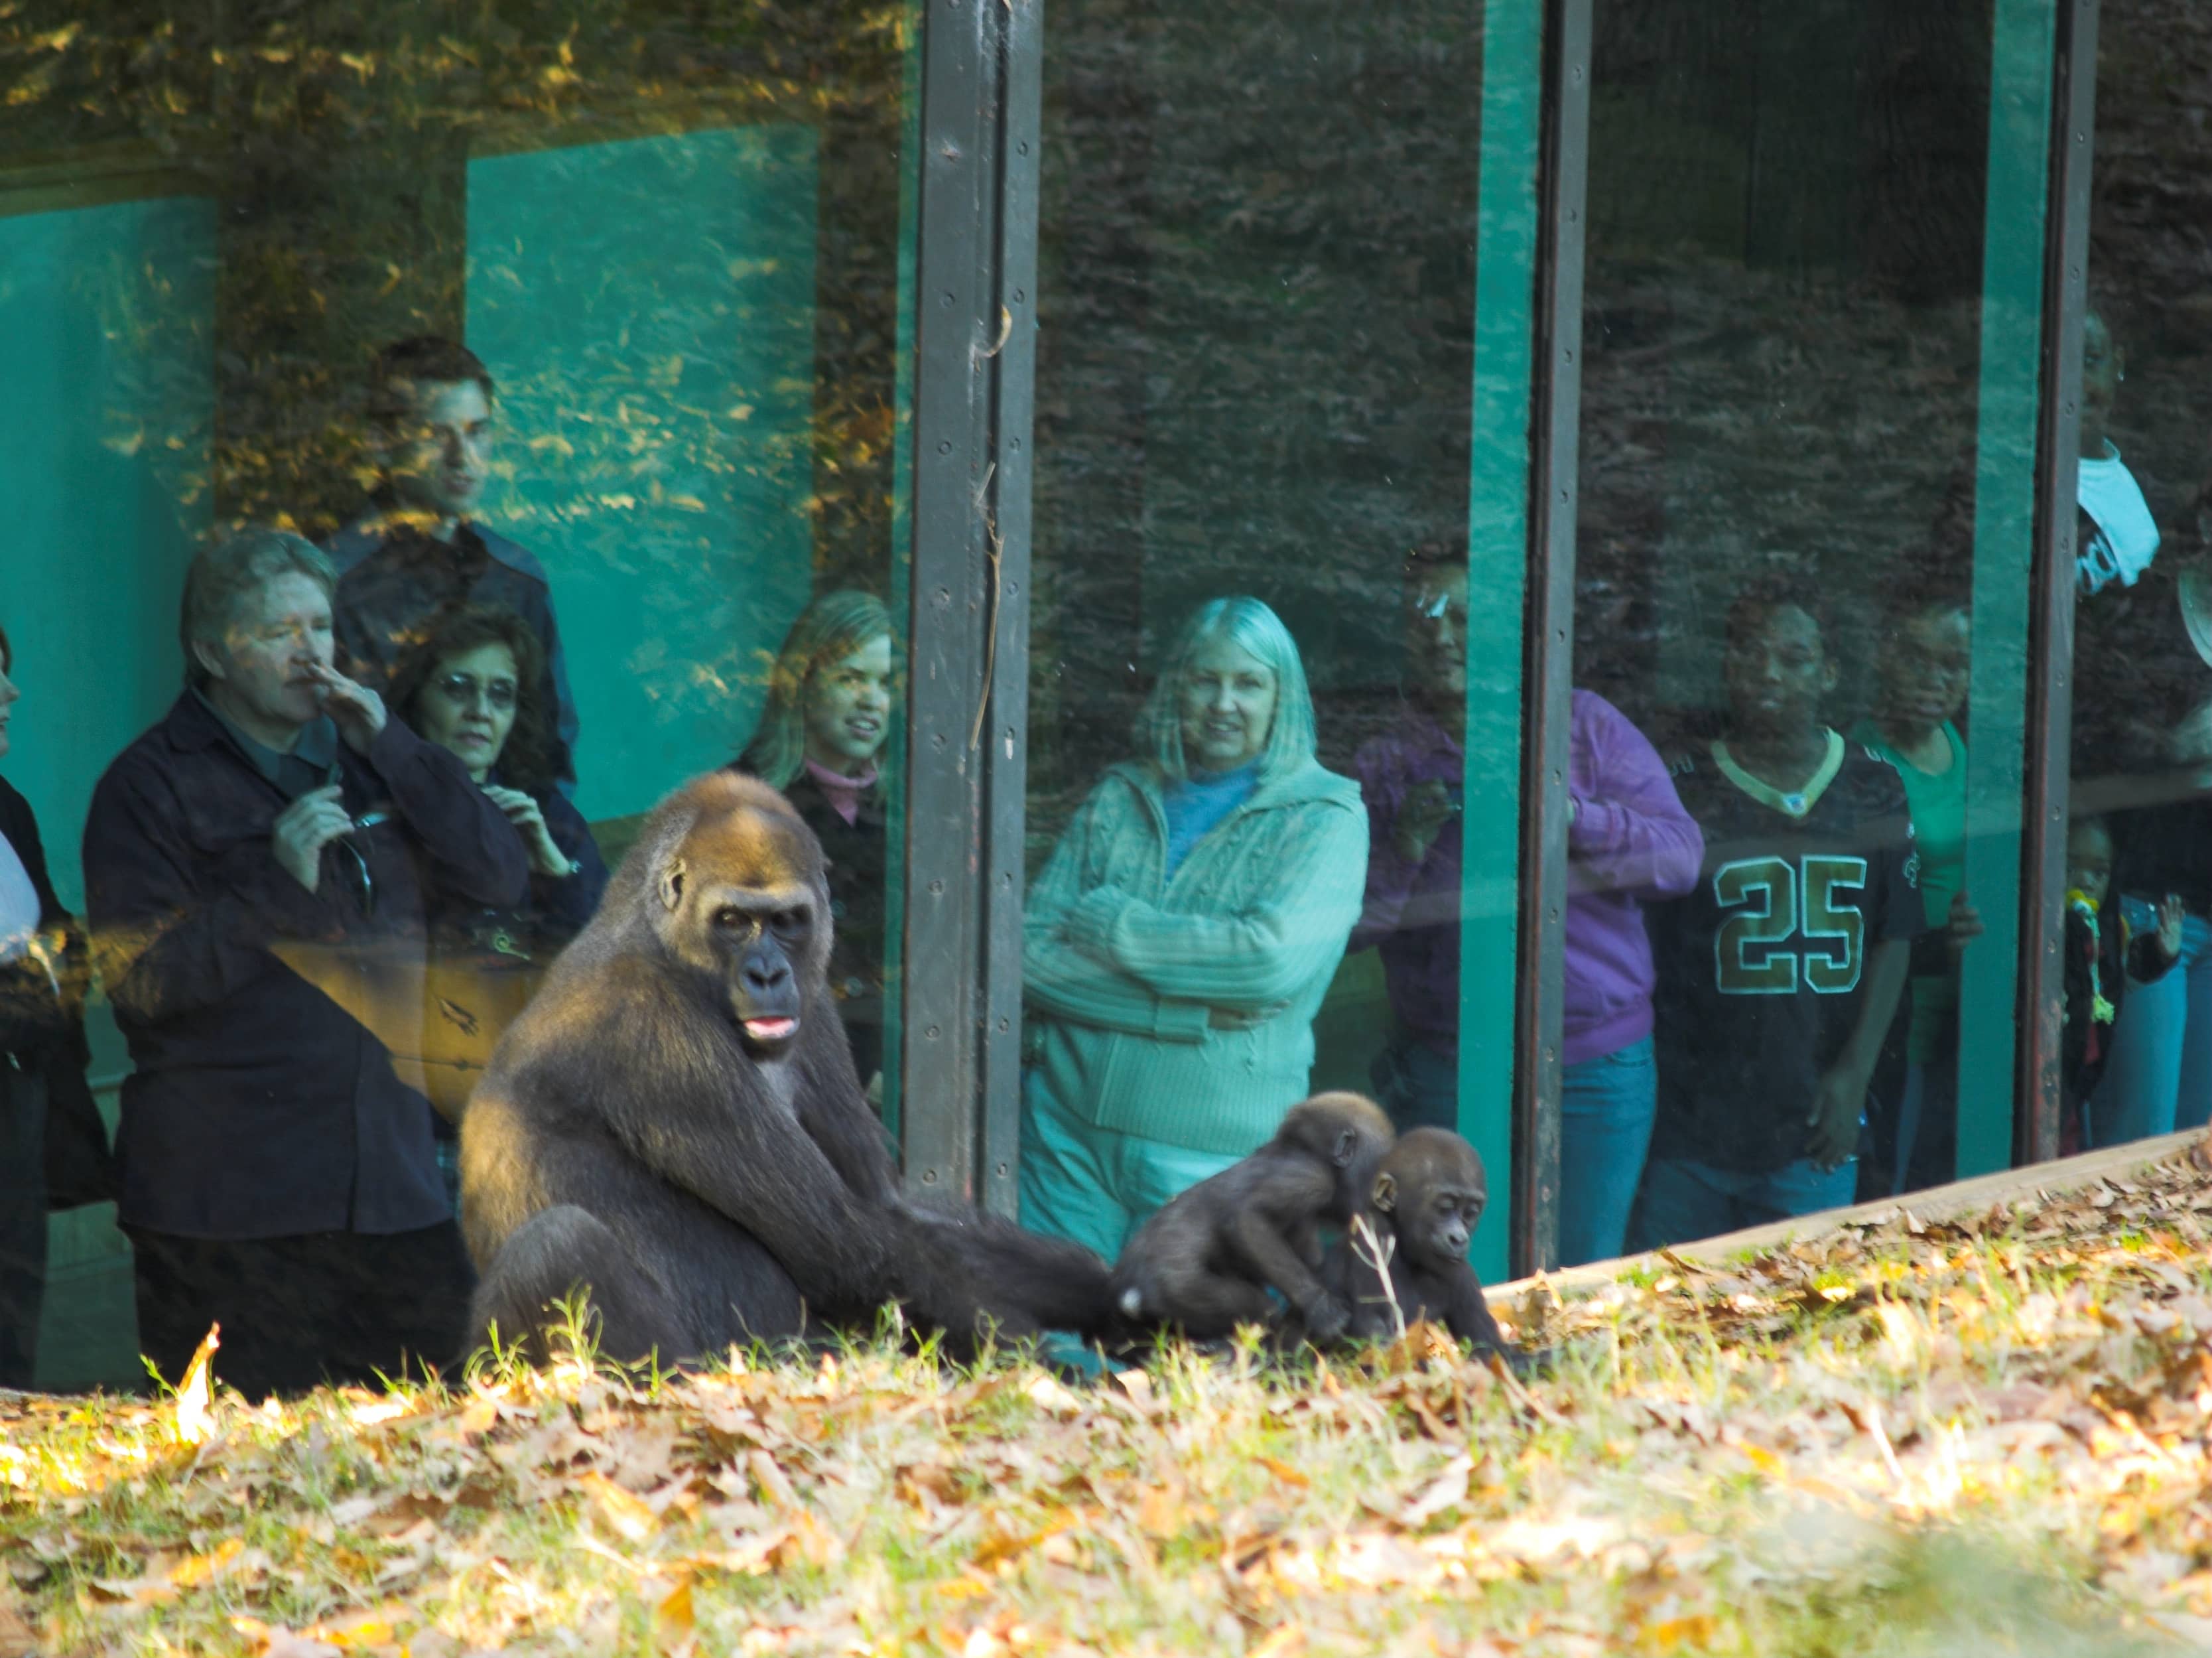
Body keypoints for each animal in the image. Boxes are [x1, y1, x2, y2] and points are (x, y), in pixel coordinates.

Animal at [460, 771, 1116, 1364]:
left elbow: (892, 1207)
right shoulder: (650, 1028)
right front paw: (1034, 1362)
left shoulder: (816, 1003)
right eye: (731, 921)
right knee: (554, 1247)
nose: (767, 975)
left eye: (785, 921)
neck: (656, 936)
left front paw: (1107, 1287)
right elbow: (846, 1244)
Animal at [1108, 1092, 1394, 1343]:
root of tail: (1126, 1293)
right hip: (1174, 1287)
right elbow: (1247, 1220)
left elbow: (1311, 1258)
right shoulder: (1312, 1176)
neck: (1302, 1148)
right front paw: (1320, 1307)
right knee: (1257, 1307)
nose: (1385, 1198)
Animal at [1321, 1128, 1509, 1355]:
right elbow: (1379, 1332)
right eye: (1444, 1209)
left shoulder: (1460, 1269)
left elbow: (1491, 1349)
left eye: (1470, 1213)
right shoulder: (1375, 1234)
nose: (1459, 1239)